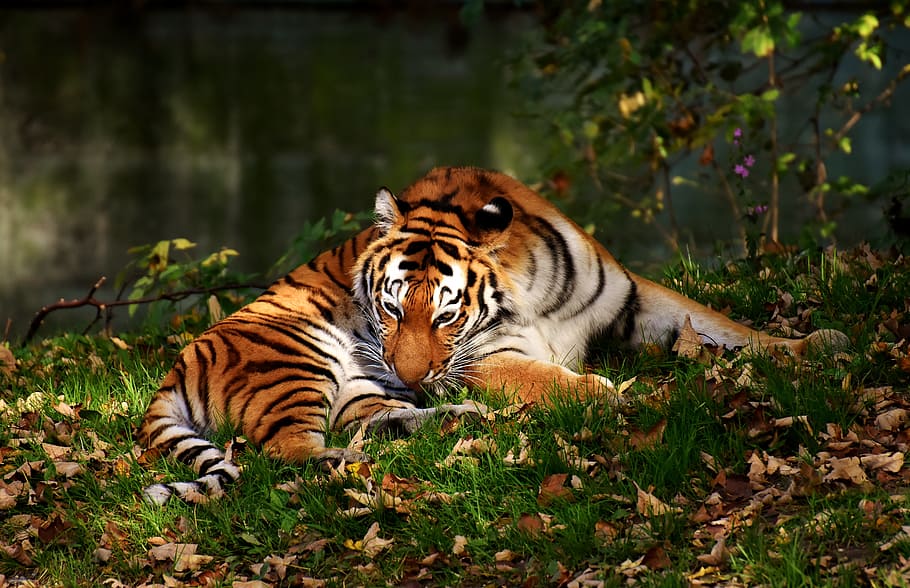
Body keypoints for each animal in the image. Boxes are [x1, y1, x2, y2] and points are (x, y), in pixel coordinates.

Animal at [139, 166, 846, 505]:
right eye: (390, 310)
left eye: (444, 316)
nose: (411, 376)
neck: (534, 291)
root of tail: (175, 367)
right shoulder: (490, 359)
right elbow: (565, 383)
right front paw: (629, 397)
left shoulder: (635, 298)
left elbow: (723, 325)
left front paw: (816, 345)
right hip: (299, 358)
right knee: (287, 453)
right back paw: (357, 462)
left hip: (356, 385)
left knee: (368, 422)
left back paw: (452, 423)